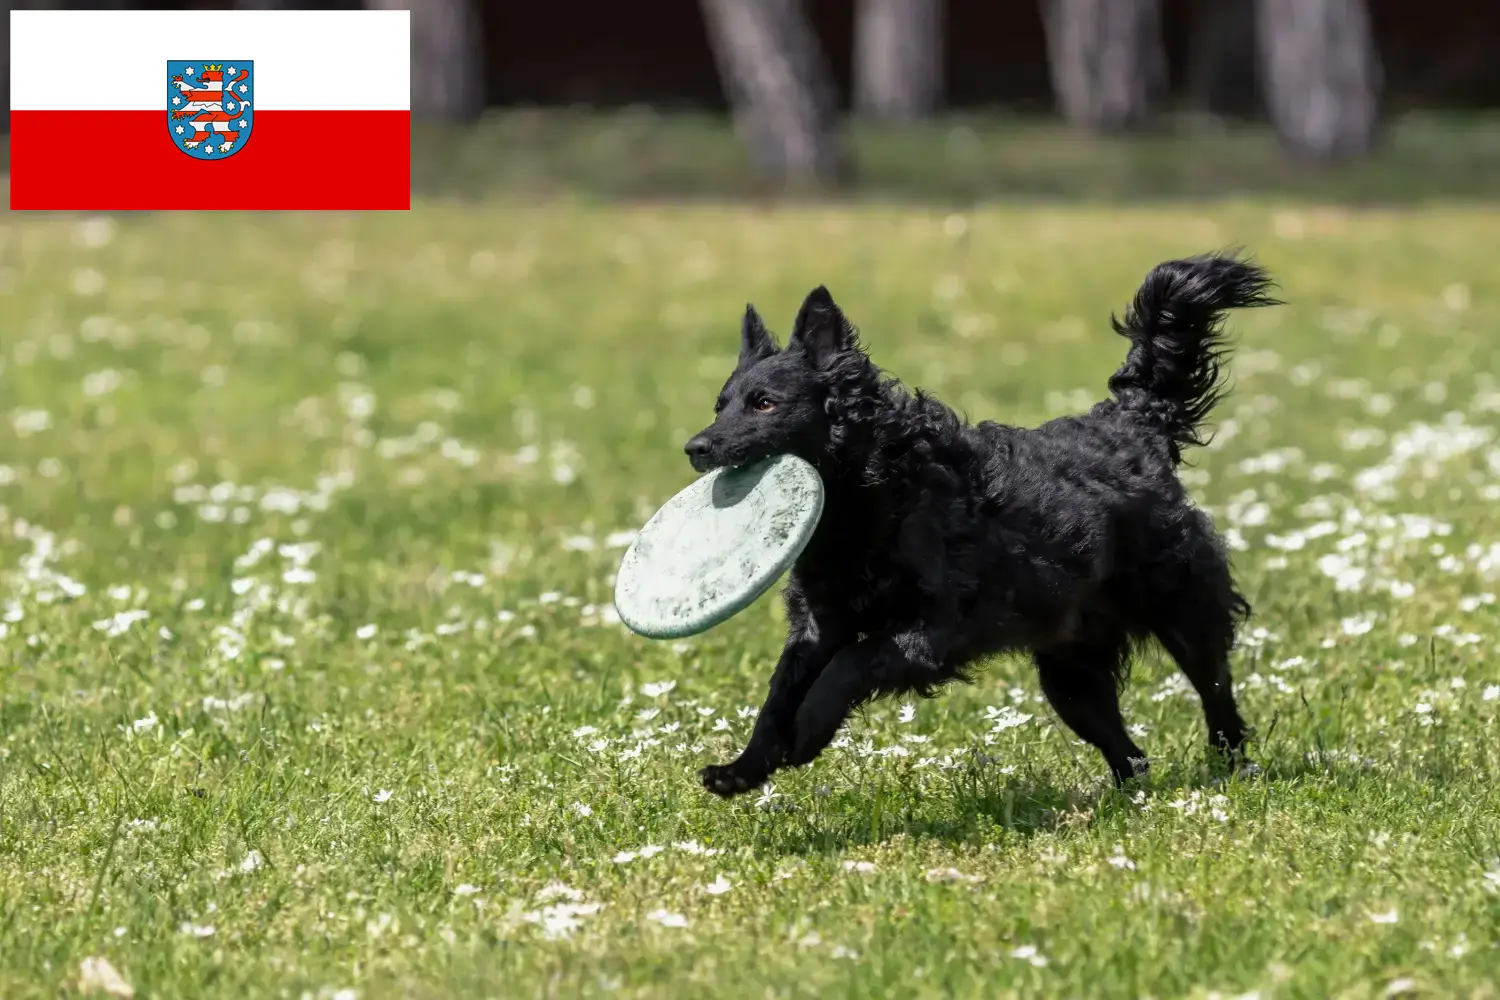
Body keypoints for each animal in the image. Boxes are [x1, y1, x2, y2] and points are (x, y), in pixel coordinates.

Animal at [684, 251, 1278, 797]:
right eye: (719, 405)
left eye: (764, 403)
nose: (695, 447)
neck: (873, 492)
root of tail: (1133, 422)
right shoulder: (816, 626)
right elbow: (778, 695)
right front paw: (744, 768)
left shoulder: (932, 632)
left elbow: (850, 664)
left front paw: (807, 732)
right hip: (1071, 674)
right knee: (1130, 754)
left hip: (1184, 613)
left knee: (1216, 693)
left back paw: (1233, 768)